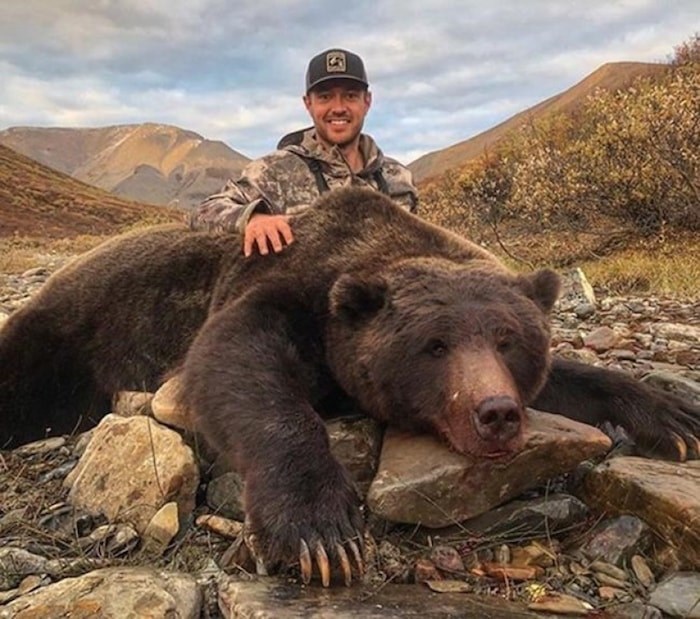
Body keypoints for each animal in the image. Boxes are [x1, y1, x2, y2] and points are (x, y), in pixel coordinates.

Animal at [0, 189, 696, 588]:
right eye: (434, 345)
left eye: (507, 341)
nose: (495, 412)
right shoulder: (279, 288)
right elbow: (235, 364)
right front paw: (321, 532)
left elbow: (574, 380)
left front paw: (673, 416)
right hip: (65, 335)